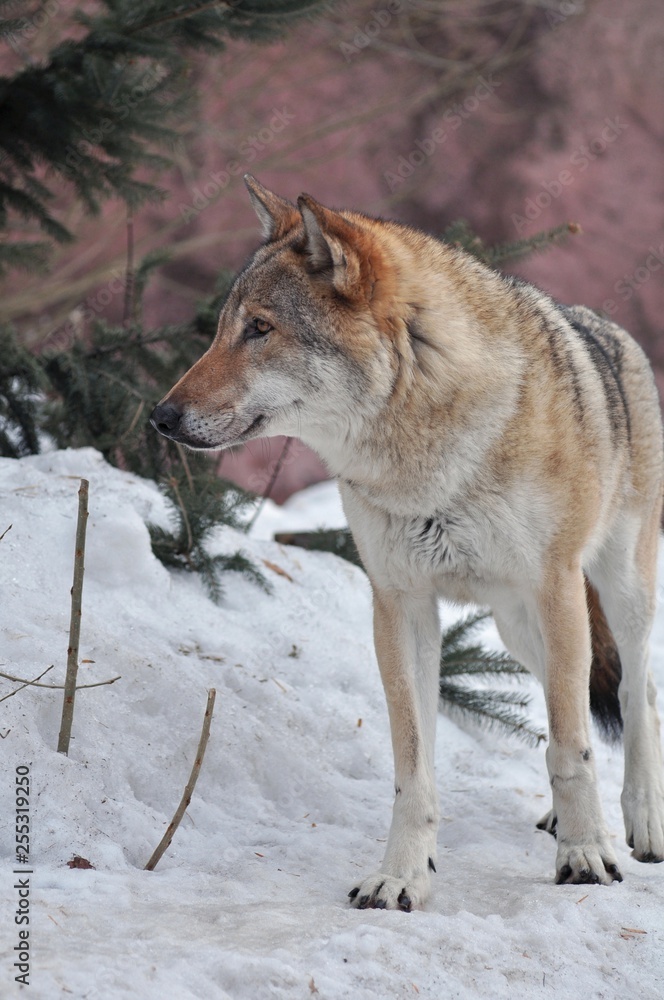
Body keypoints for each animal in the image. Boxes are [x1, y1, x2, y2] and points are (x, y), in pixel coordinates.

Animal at [151, 175, 664, 910]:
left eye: (260, 329)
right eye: (224, 328)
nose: (161, 417)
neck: (428, 455)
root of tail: (612, 329)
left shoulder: (555, 585)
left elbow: (573, 745)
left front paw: (588, 856)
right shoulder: (401, 604)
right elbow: (414, 766)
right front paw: (401, 876)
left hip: (613, 595)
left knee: (636, 693)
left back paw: (641, 823)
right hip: (519, 629)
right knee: (573, 698)